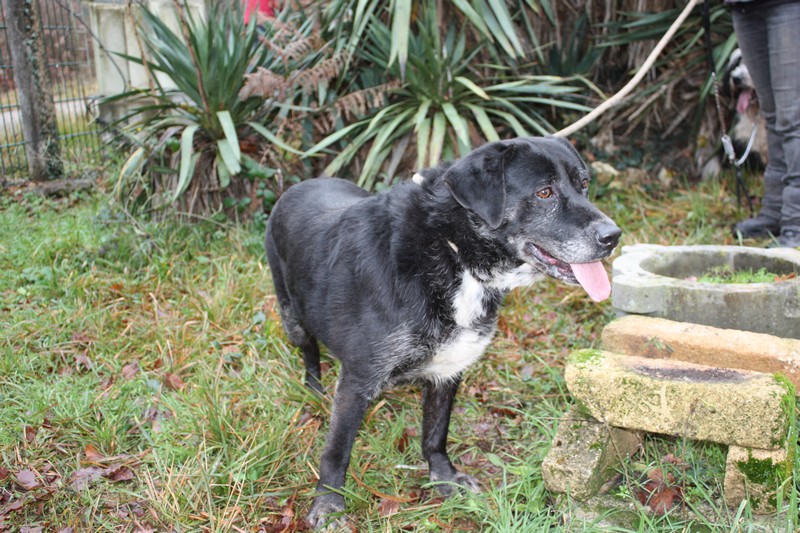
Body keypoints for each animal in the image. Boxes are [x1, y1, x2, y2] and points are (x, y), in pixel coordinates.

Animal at [266, 137, 620, 528]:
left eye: (583, 184)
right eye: (545, 192)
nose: (613, 236)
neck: (454, 253)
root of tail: (301, 184)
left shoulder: (449, 369)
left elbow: (435, 434)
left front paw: (445, 479)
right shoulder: (359, 378)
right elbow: (337, 450)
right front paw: (328, 504)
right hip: (291, 316)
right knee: (309, 350)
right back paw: (314, 388)